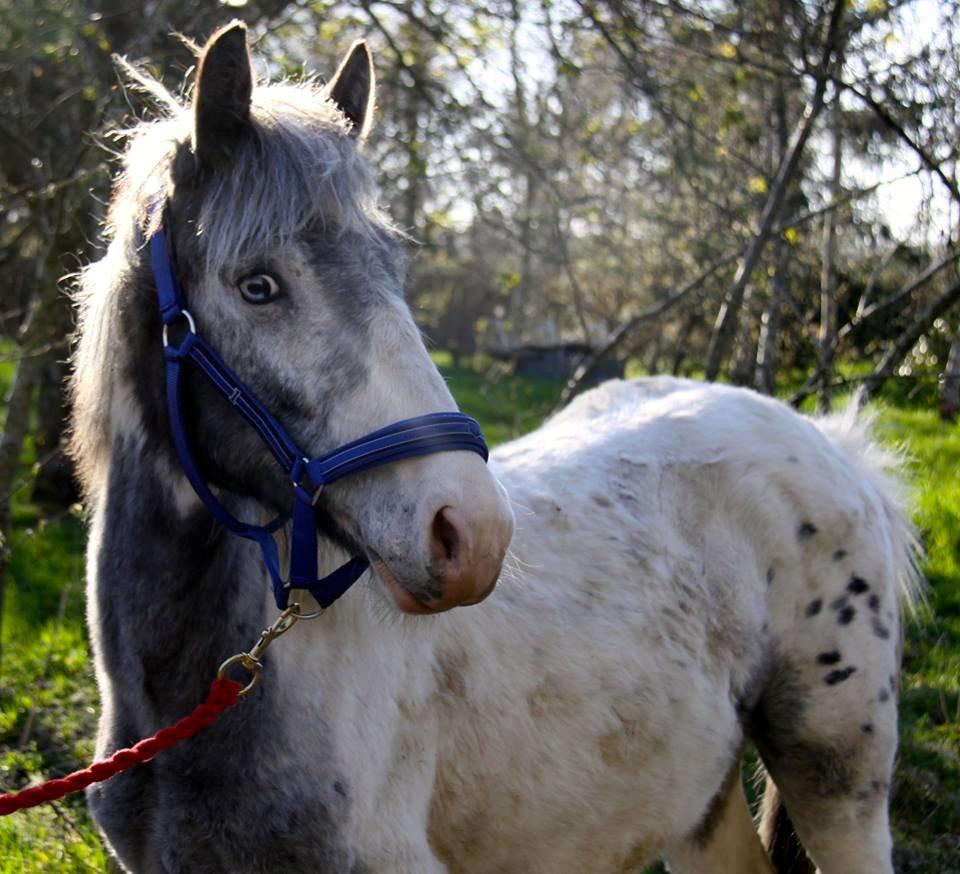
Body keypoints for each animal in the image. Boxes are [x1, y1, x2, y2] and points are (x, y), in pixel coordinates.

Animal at [71, 20, 920, 872]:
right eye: (257, 286)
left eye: (394, 272)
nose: (471, 533)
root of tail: (830, 443)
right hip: (698, 801)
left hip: (839, 778)